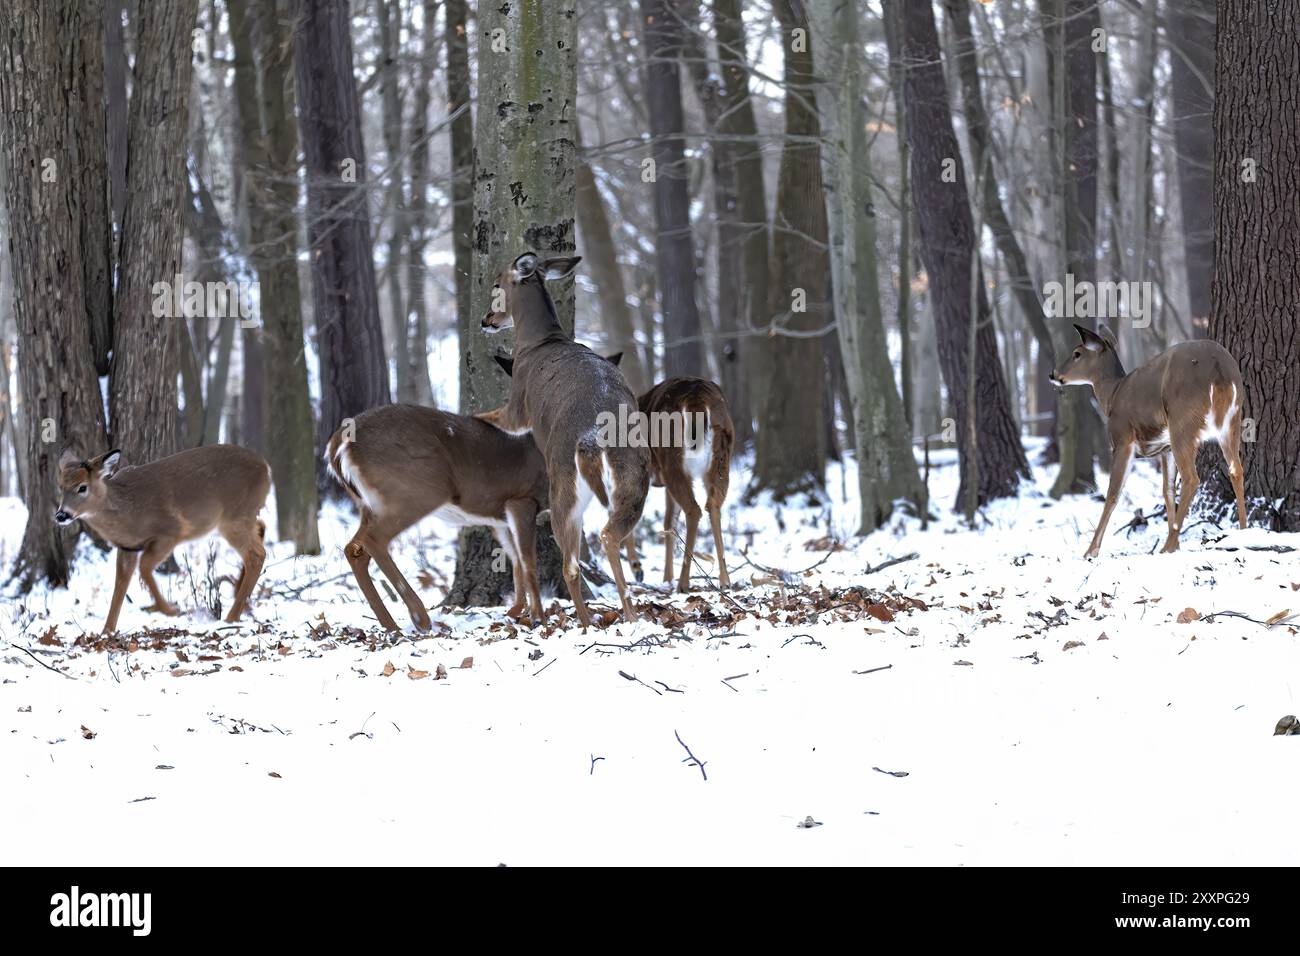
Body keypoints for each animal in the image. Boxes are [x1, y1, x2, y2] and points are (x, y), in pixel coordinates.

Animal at [53, 442, 271, 634]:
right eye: (61, 486)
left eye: (82, 487)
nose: (61, 515)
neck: (126, 512)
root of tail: (266, 468)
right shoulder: (127, 547)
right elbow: (119, 586)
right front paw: (106, 632)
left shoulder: (170, 531)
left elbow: (144, 568)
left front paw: (170, 610)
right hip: (241, 517)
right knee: (261, 529)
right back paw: (240, 599)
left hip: (234, 517)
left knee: (256, 554)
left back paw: (231, 616)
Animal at [327, 403, 551, 632]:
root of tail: (339, 445)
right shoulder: (523, 498)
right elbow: (528, 561)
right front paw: (538, 618)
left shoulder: (500, 516)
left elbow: (515, 560)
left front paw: (517, 611)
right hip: (415, 491)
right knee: (373, 540)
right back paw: (420, 617)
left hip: (369, 503)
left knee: (354, 548)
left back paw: (391, 625)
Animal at [478, 252, 650, 629]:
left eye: (496, 284)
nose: (485, 320)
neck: (540, 341)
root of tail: (593, 439)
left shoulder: (518, 403)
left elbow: (491, 416)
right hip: (635, 476)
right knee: (610, 535)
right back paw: (630, 615)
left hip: (563, 483)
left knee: (570, 564)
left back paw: (583, 623)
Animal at [1045, 325, 1248, 556]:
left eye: (1077, 353)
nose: (1053, 374)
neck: (1112, 395)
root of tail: (1219, 368)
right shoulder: (1164, 448)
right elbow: (1167, 490)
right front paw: (1177, 543)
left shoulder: (1122, 439)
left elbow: (1113, 493)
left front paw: (1091, 551)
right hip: (1232, 421)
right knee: (1236, 470)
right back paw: (1242, 532)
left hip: (1182, 421)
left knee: (1192, 478)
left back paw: (1166, 547)